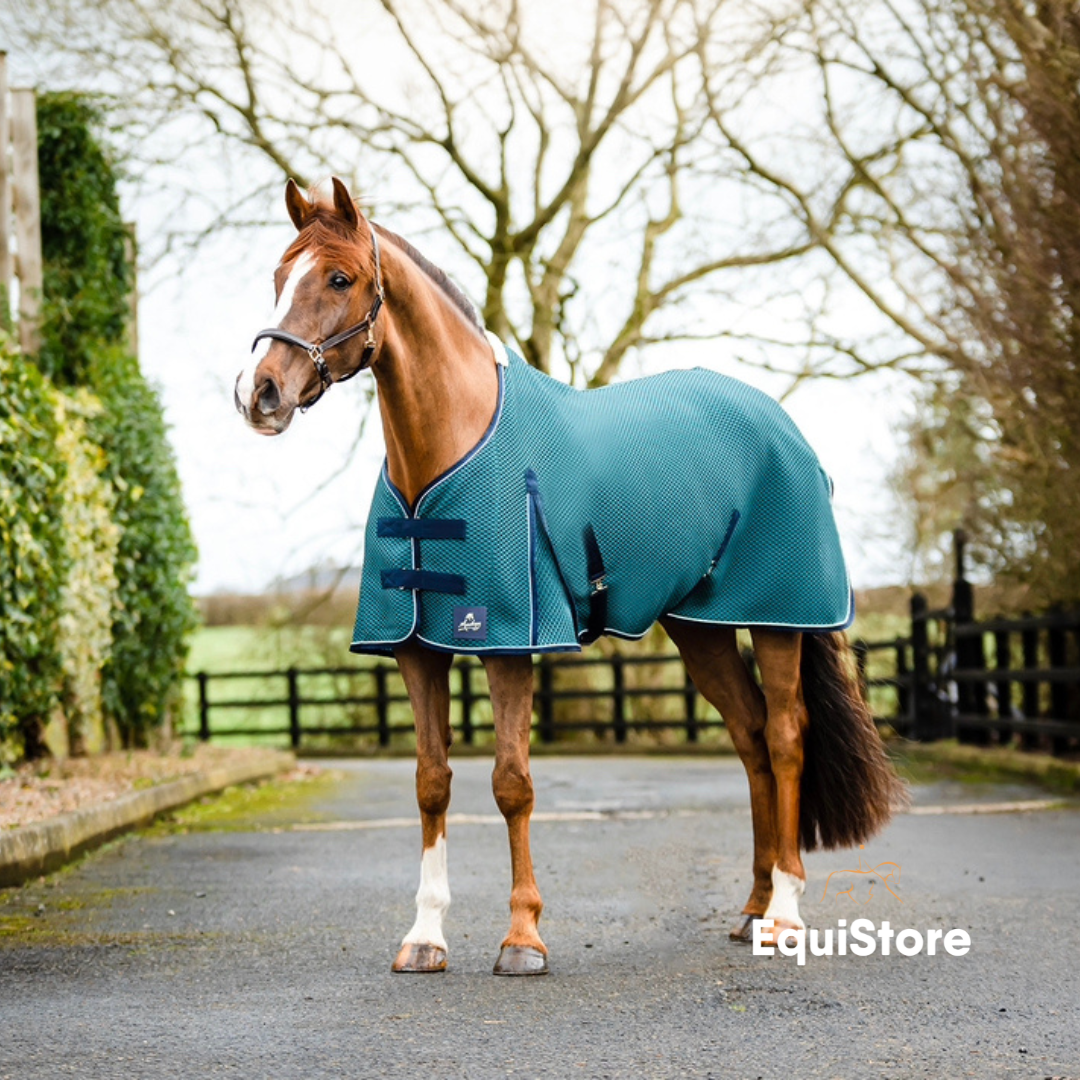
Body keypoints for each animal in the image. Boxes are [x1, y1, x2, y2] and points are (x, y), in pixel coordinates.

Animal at [235, 177, 907, 976]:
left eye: (339, 279)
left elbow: (512, 783)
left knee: (783, 738)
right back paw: (750, 906)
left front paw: (522, 938)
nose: (259, 392)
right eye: (278, 277)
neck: (449, 448)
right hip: (700, 629)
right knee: (748, 739)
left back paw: (784, 912)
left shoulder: (508, 644)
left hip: (780, 620)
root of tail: (783, 427)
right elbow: (432, 783)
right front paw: (425, 936)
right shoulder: (415, 649)